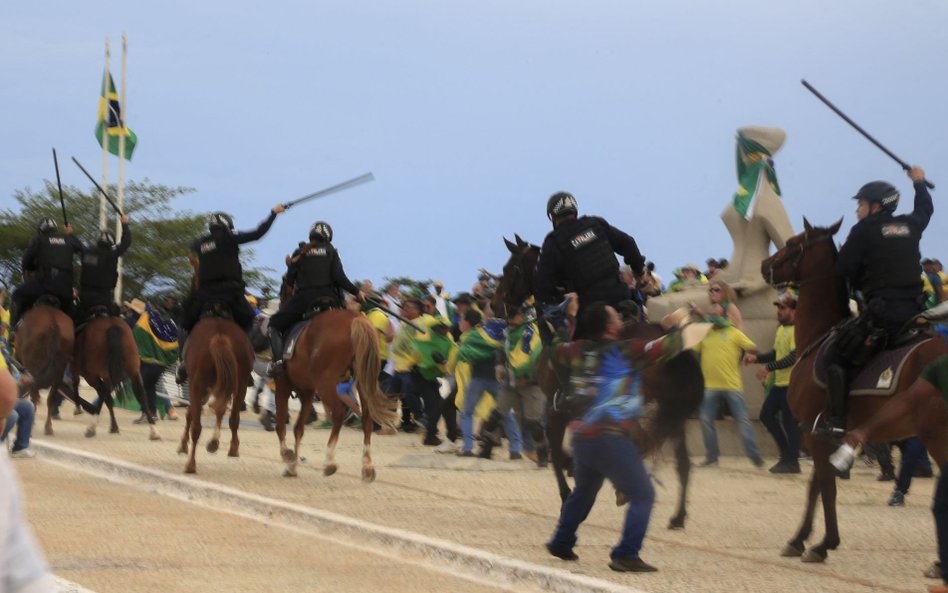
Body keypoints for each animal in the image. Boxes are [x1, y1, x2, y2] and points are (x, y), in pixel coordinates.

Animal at [13, 300, 75, 434]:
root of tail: (52, 322)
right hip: (59, 370)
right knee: (50, 397)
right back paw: (48, 427)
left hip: (33, 366)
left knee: (35, 394)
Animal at [176, 316, 254, 474]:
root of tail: (219, 338)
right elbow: (219, 410)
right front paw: (214, 442)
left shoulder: (199, 389)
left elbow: (191, 414)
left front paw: (183, 445)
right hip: (240, 385)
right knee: (232, 417)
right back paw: (230, 447)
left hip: (198, 385)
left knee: (197, 427)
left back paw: (190, 464)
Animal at [272, 310, 398, 480]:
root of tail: (355, 318)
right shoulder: (308, 391)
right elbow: (299, 428)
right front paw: (292, 467)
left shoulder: (283, 385)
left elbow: (280, 425)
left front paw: (287, 455)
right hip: (362, 383)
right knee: (366, 420)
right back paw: (367, 466)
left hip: (325, 384)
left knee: (338, 414)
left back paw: (329, 461)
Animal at [488, 236, 704, 528]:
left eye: (511, 268)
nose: (496, 304)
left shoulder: (559, 409)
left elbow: (556, 448)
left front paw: (567, 491)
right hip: (670, 408)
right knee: (681, 462)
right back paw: (677, 516)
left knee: (644, 444)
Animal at [764, 217, 948, 560]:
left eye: (793, 243)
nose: (764, 265)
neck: (818, 336)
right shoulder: (820, 434)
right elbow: (817, 485)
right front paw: (804, 539)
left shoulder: (814, 431)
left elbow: (826, 487)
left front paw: (821, 543)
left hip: (935, 433)